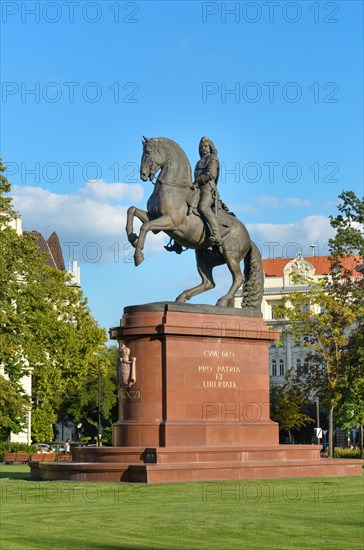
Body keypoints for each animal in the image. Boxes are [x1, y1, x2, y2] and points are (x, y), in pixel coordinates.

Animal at [126, 137, 264, 310]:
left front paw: (138, 256)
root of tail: (249, 239)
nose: (143, 175)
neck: (173, 188)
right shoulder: (153, 217)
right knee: (208, 282)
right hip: (203, 257)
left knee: (238, 278)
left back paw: (222, 300)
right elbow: (132, 210)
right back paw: (182, 297)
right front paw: (133, 238)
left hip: (230, 255)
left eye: (148, 152)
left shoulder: (170, 222)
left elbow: (145, 226)